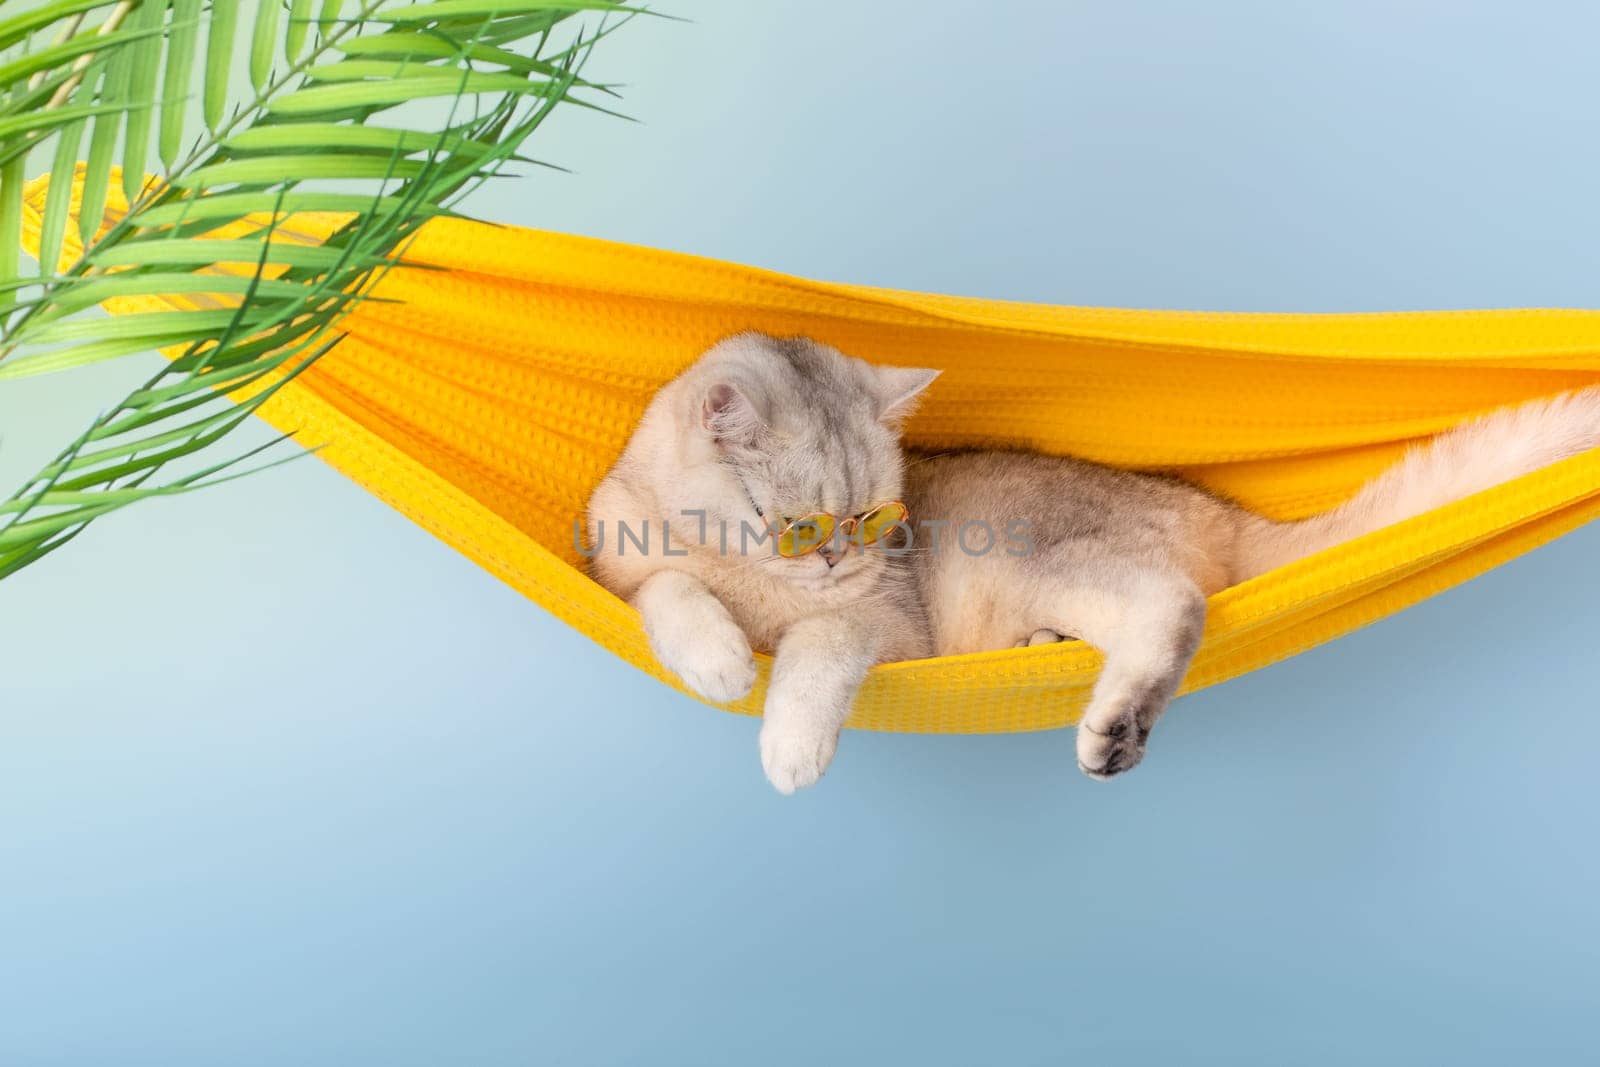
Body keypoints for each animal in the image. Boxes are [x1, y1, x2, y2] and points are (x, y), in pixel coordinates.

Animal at [588, 331, 1600, 793]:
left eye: (876, 517)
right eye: (799, 526)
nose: (838, 558)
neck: (760, 588)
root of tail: (1213, 507)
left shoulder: (886, 626)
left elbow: (816, 647)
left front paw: (789, 743)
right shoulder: (617, 558)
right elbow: (669, 585)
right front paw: (719, 657)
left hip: (1041, 555)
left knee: (1175, 601)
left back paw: (1116, 727)